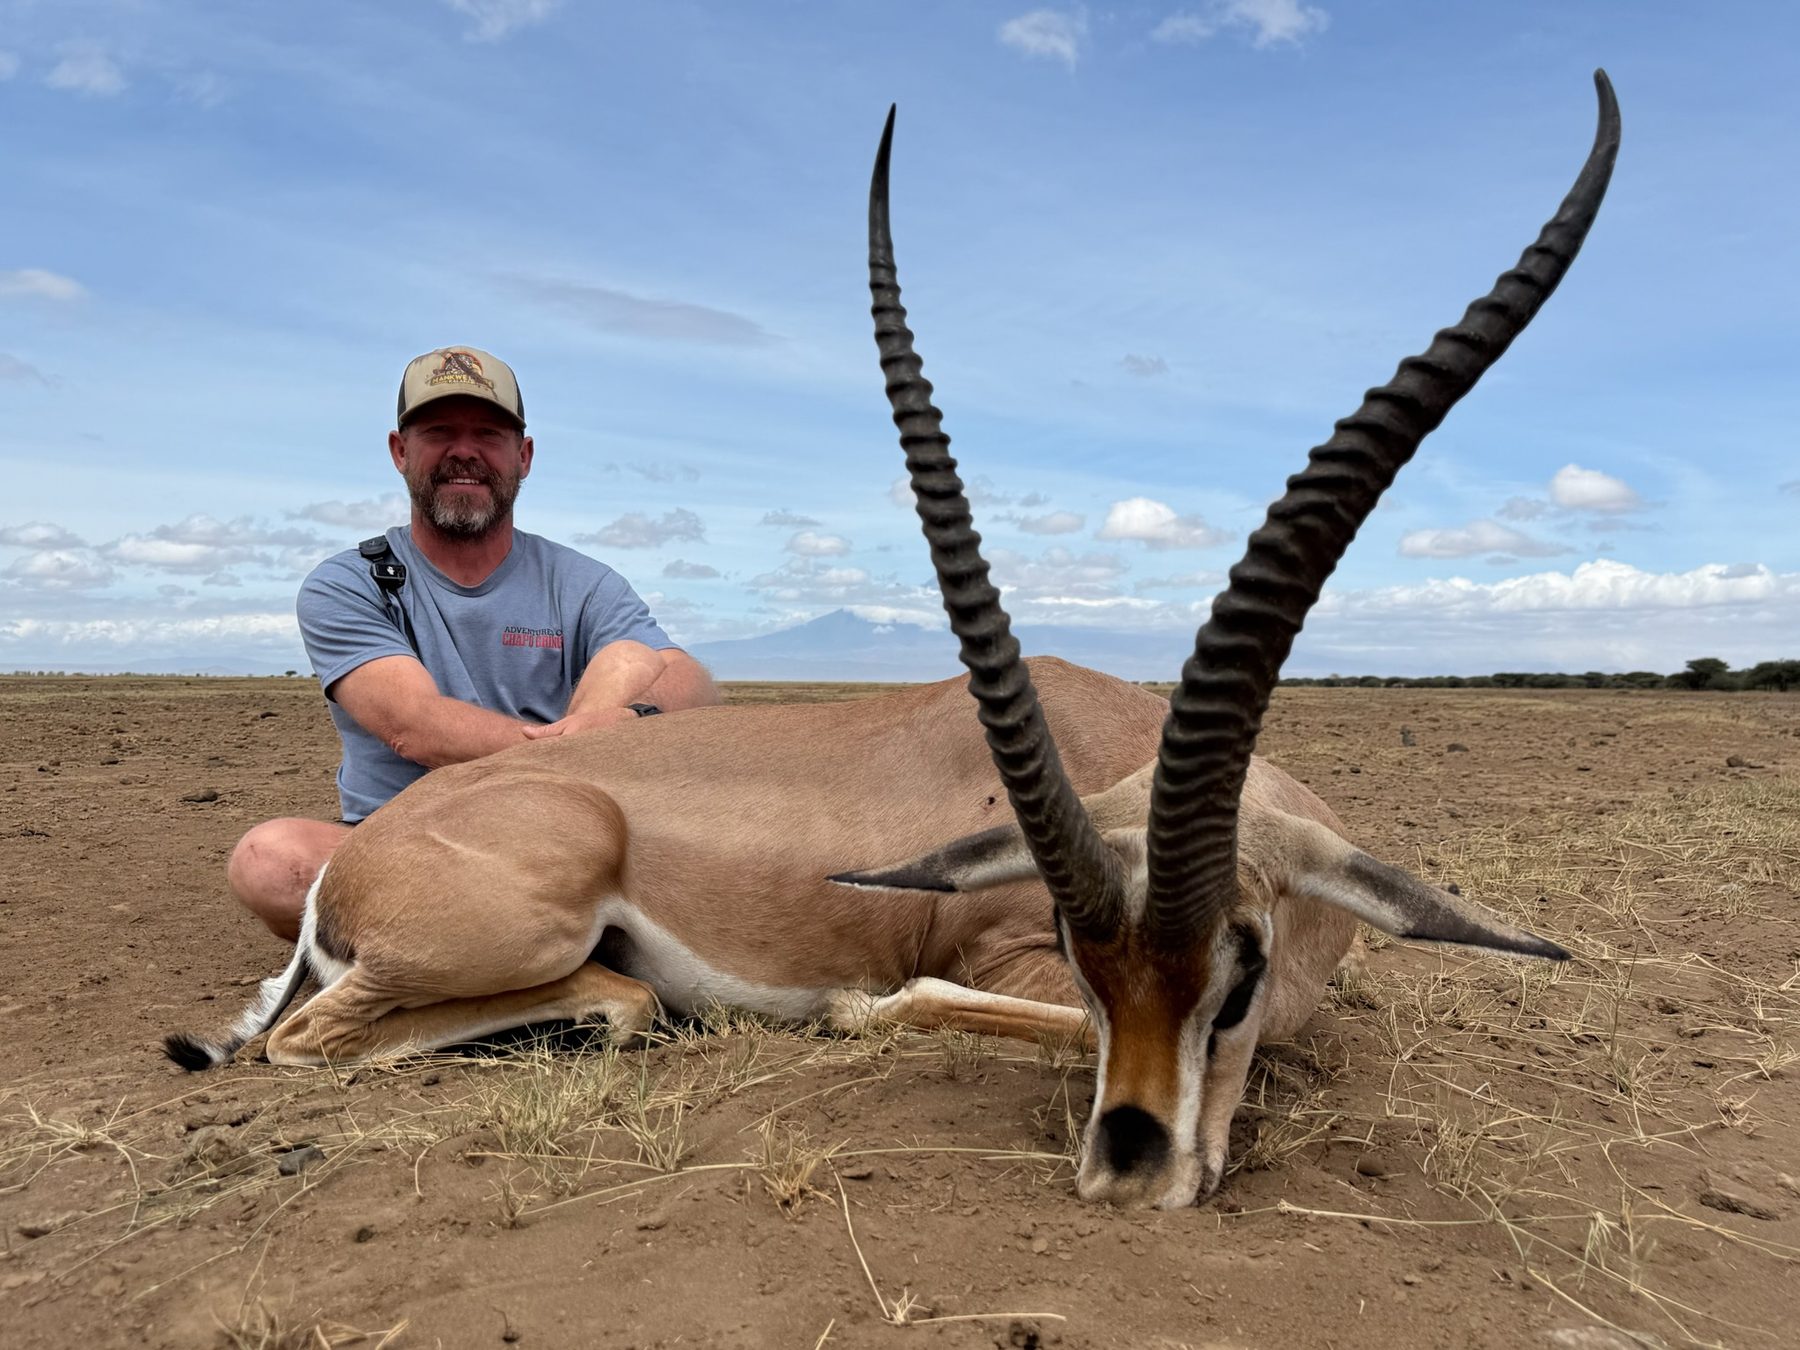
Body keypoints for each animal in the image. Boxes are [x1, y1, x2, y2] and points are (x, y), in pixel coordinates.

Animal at [168, 72, 1618, 1210]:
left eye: (1240, 961)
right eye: (1087, 961)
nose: (1128, 1167)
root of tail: (358, 860)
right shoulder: (994, 961)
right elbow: (911, 1001)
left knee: (605, 1002)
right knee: (308, 1040)